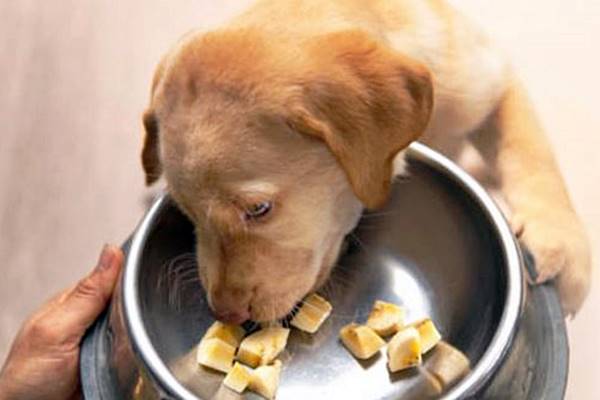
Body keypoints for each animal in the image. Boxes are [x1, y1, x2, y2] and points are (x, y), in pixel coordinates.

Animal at [139, 0, 592, 320]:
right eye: (186, 212)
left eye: (258, 210)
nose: (226, 315)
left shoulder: (490, 78)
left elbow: (530, 149)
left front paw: (562, 247)